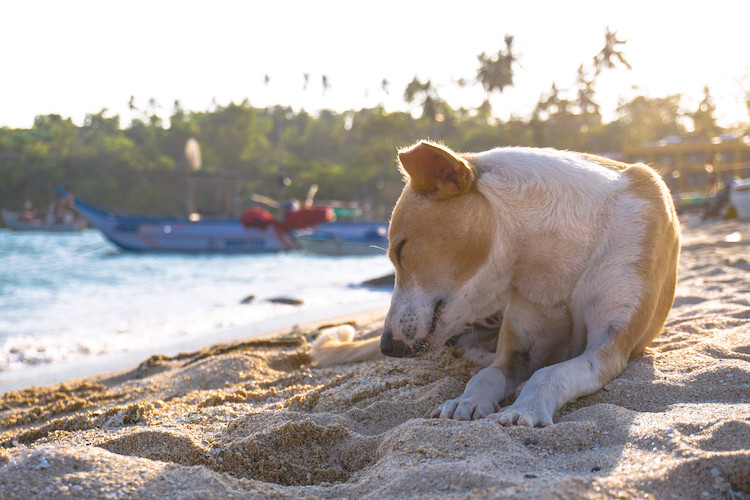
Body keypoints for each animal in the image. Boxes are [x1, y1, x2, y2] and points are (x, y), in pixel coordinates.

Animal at [312, 140, 680, 426]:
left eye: (400, 250)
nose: (387, 346)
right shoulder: (521, 349)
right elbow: (489, 374)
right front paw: (467, 401)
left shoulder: (610, 346)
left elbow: (551, 372)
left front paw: (525, 409)